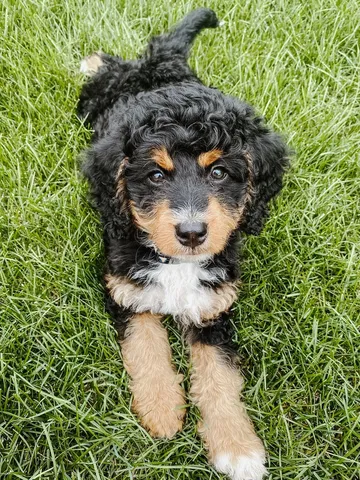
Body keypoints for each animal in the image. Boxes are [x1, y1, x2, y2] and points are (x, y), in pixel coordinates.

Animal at [77, 7, 288, 480]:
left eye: (219, 173)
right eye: (156, 175)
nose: (192, 233)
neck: (178, 264)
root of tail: (164, 65)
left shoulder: (213, 306)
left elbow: (220, 375)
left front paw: (237, 447)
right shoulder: (126, 288)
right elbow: (146, 346)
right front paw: (162, 410)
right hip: (92, 104)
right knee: (111, 67)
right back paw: (92, 60)